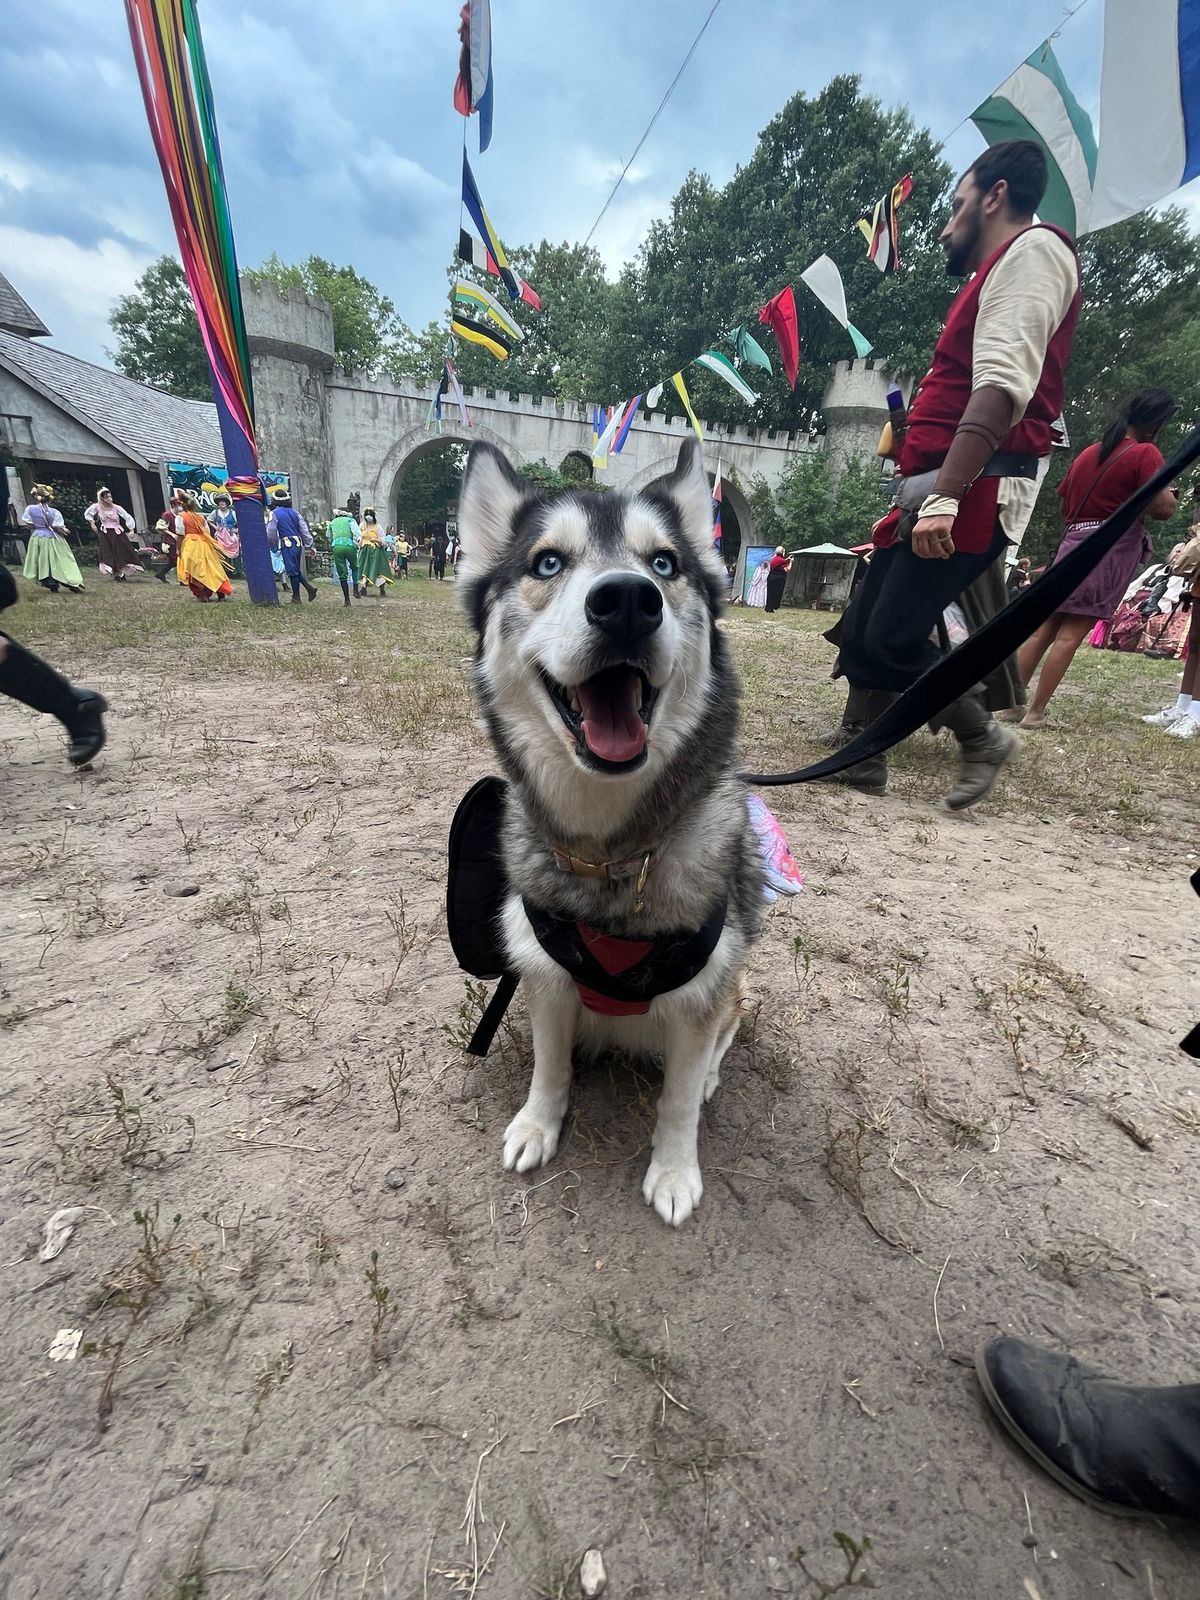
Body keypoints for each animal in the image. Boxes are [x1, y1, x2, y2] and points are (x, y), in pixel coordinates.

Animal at [454, 438, 764, 1222]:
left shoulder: (702, 996)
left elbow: (677, 1100)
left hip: (736, 989)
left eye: (665, 564)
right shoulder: (544, 977)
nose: (627, 600)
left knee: (721, 1042)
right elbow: (548, 1066)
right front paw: (538, 1125)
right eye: (546, 563)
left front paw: (676, 1172)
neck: (610, 857)